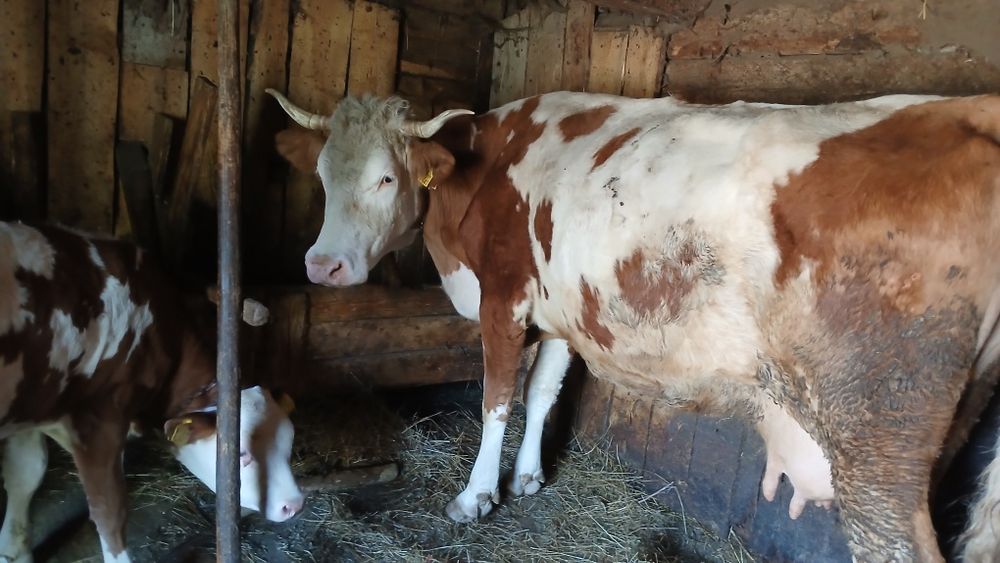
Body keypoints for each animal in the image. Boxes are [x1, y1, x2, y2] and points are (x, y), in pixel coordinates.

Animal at [0, 221, 305, 563]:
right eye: (241, 455)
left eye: (289, 442)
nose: (294, 505)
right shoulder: (99, 420)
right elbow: (110, 512)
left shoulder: (30, 408)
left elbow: (25, 473)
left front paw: (13, 551)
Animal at [266, 88, 1000, 562]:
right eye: (324, 175)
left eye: (387, 179)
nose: (323, 265)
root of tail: (974, 109)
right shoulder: (559, 313)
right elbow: (542, 393)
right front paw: (527, 479)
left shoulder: (504, 298)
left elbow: (496, 398)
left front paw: (475, 497)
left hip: (877, 434)